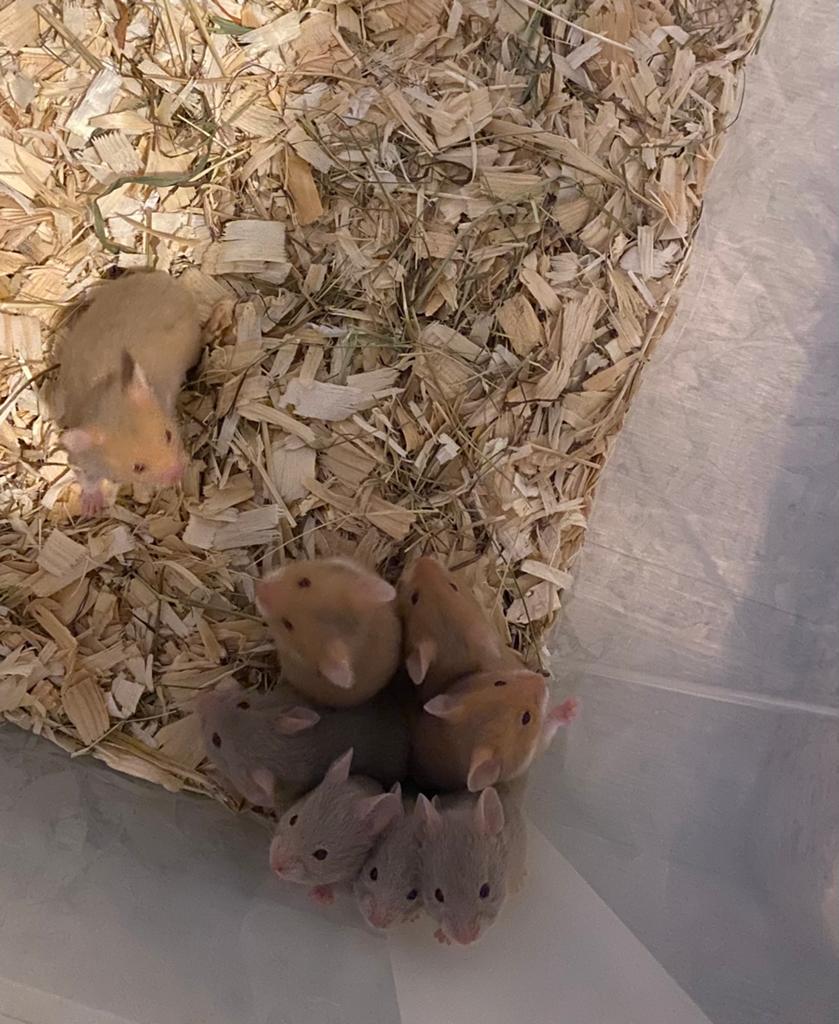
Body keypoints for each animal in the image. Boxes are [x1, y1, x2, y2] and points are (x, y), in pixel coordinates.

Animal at [56, 271, 203, 515]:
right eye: (138, 467)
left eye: (168, 435)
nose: (179, 474)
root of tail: (165, 279)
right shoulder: (82, 459)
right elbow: (88, 479)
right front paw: (90, 508)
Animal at [411, 664, 578, 792]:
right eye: (526, 718)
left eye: (499, 683)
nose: (540, 677)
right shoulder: (531, 755)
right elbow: (547, 728)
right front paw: (573, 706)